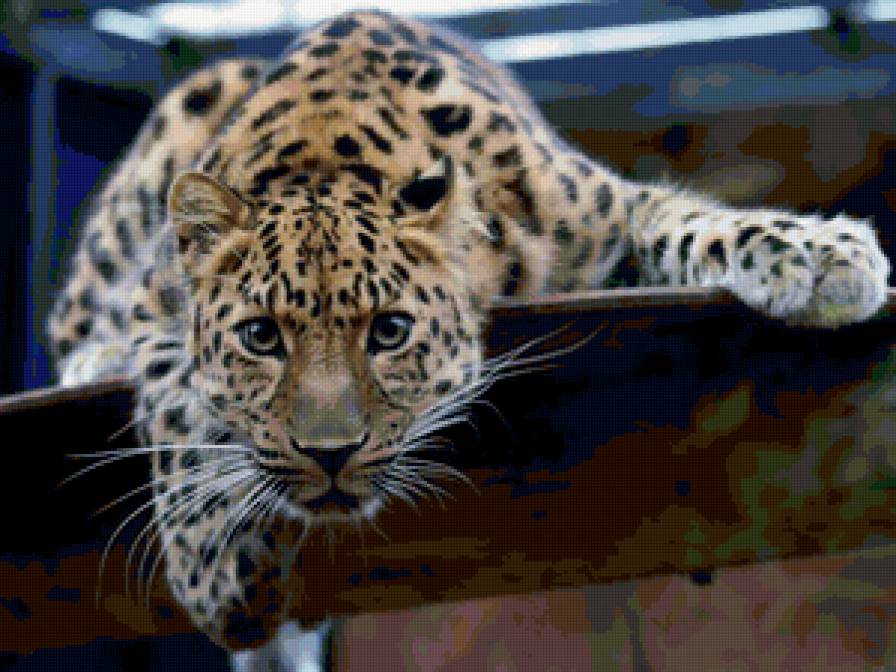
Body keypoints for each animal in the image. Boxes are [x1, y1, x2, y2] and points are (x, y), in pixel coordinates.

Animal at [47, 8, 891, 661]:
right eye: (260, 337)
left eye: (390, 332)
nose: (329, 454)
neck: (326, 153)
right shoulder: (157, 307)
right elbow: (177, 411)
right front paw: (216, 569)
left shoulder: (611, 213)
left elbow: (696, 222)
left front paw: (823, 255)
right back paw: (91, 355)